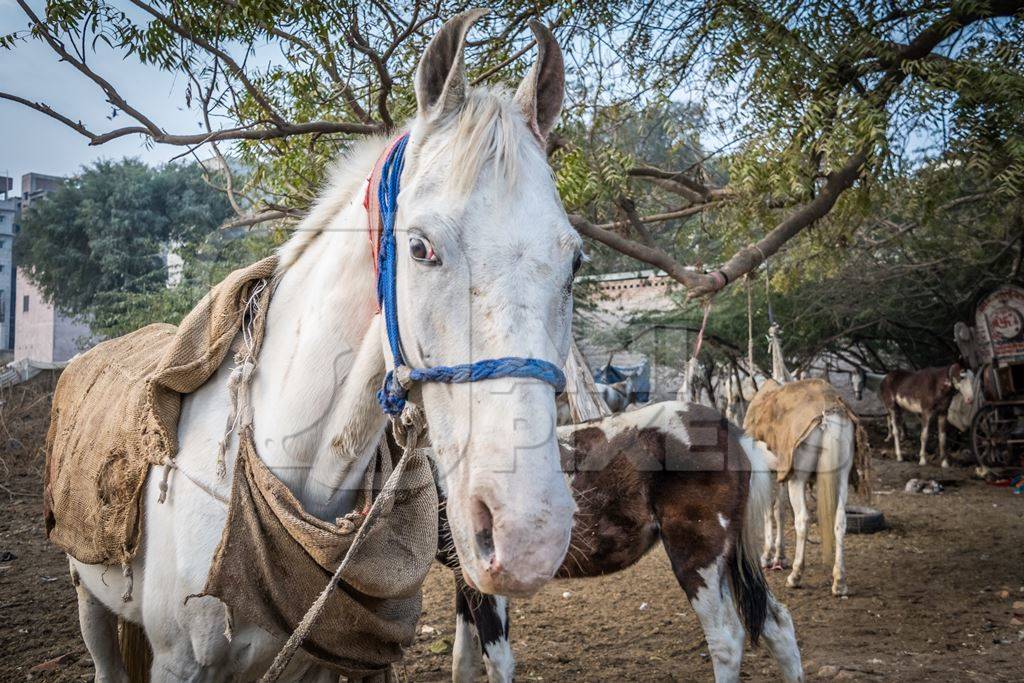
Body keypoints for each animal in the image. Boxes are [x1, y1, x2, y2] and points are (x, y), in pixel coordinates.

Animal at [436, 403, 802, 679]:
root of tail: (733, 433)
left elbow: (497, 663)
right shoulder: (462, 577)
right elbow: (462, 662)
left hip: (698, 559)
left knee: (726, 640)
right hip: (730, 560)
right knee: (778, 626)